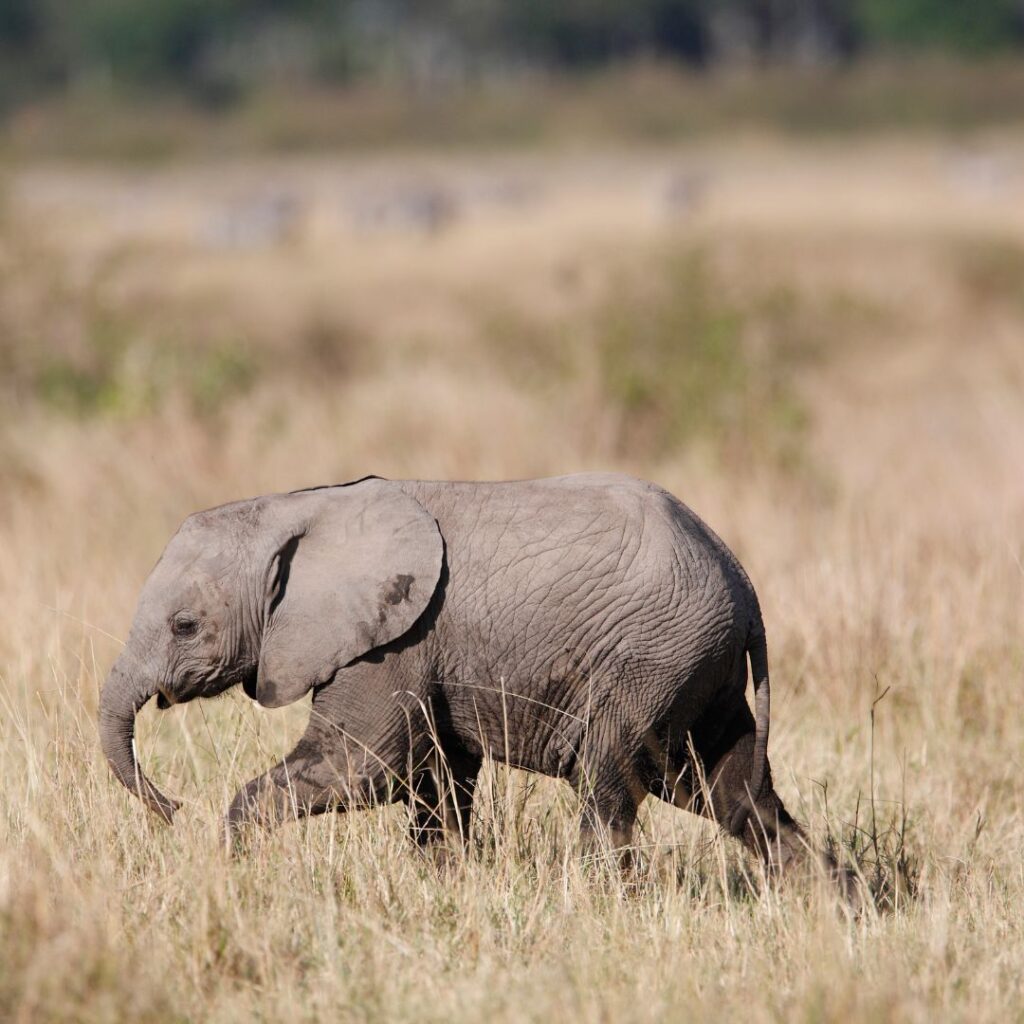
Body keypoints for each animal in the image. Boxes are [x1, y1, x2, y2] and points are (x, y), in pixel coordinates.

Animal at [97, 475, 806, 876]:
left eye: (185, 625)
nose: (173, 807)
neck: (298, 509)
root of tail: (744, 588)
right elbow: (436, 777)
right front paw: (444, 882)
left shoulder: (395, 640)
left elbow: (365, 769)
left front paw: (232, 869)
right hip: (696, 668)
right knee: (730, 792)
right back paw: (817, 899)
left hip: (653, 658)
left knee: (608, 781)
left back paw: (598, 895)